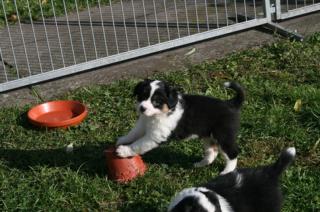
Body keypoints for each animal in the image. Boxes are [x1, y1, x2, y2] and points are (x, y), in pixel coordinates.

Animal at [116, 79, 244, 174]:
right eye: (142, 96)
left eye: (156, 101)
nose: (142, 108)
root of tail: (230, 103)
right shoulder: (143, 124)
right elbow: (133, 133)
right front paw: (122, 140)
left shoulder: (155, 136)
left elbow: (138, 145)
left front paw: (123, 151)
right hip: (208, 136)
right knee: (212, 151)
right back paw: (199, 164)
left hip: (223, 136)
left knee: (233, 153)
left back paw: (226, 171)